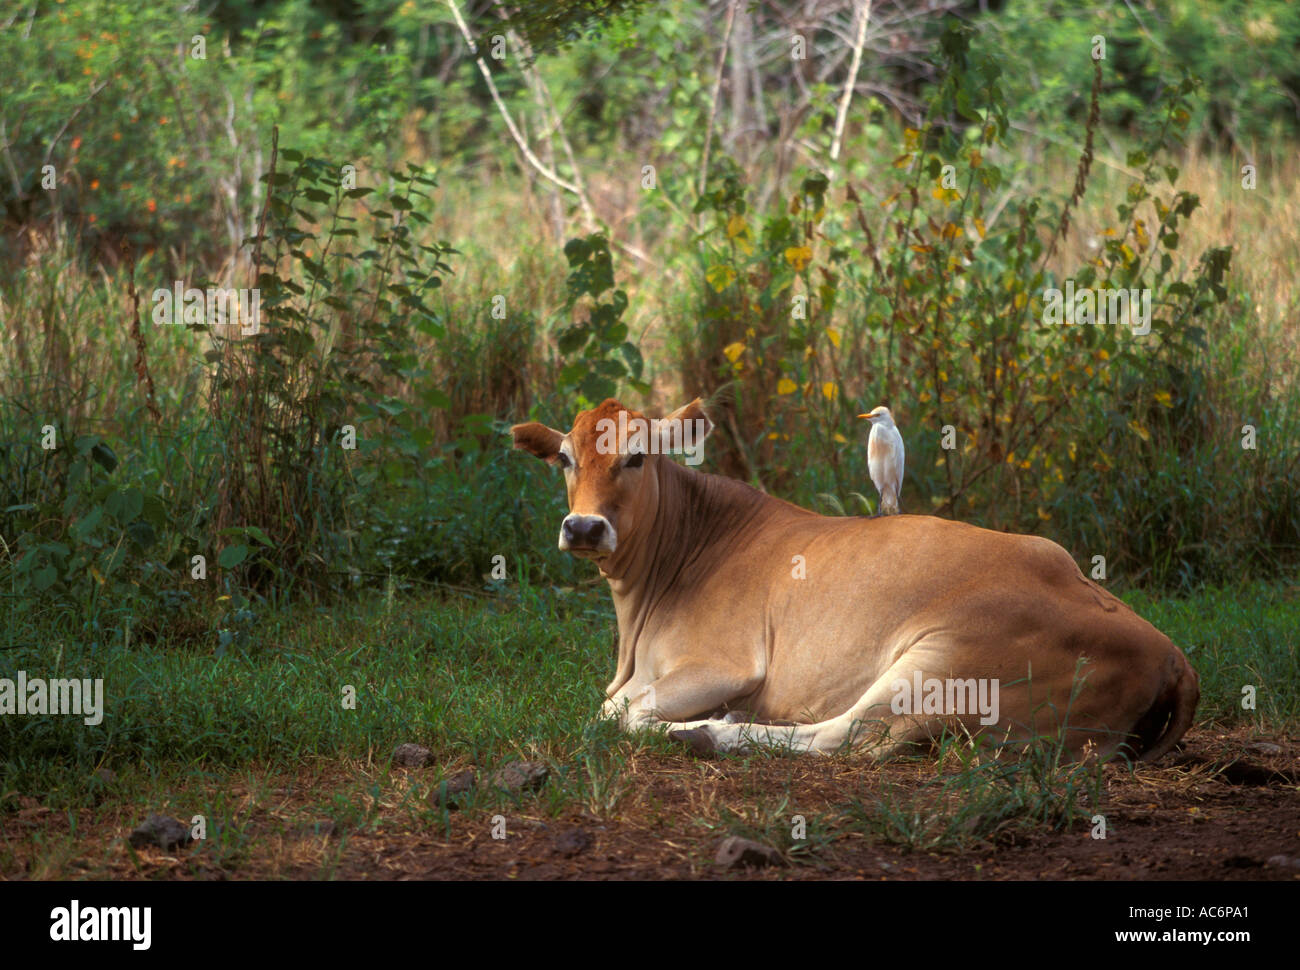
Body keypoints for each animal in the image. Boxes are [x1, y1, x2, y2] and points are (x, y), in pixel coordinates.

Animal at [510, 397, 1199, 761]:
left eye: (637, 456)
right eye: (565, 458)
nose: (584, 527)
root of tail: (1169, 651)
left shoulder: (721, 664)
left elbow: (615, 711)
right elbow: (613, 701)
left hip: (941, 662)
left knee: (846, 735)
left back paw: (709, 732)